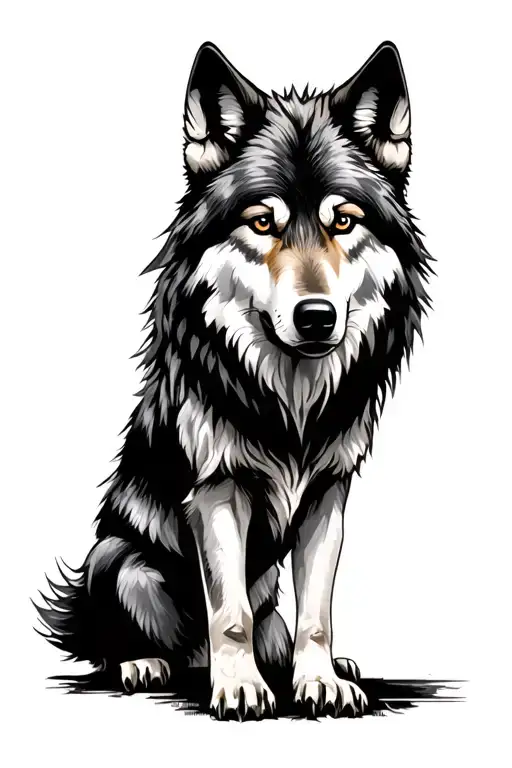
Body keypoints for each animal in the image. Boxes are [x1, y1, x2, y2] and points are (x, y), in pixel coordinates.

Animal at [36, 40, 432, 720]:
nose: (316, 316)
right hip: (121, 561)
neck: (291, 398)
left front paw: (319, 680)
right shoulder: (217, 491)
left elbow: (317, 614)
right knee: (138, 638)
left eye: (344, 222)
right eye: (262, 223)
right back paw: (148, 662)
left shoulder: (327, 494)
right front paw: (241, 687)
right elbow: (230, 613)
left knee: (275, 624)